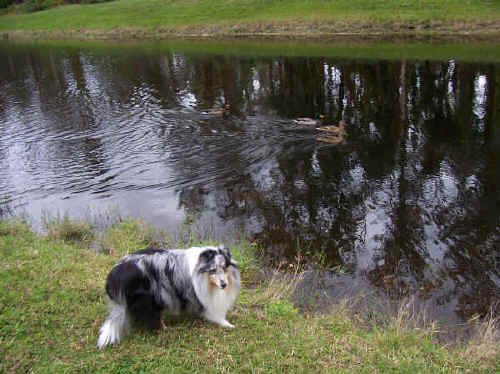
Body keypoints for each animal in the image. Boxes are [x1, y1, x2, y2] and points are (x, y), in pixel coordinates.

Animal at [97, 245, 240, 348]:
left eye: (224, 267)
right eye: (212, 270)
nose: (224, 285)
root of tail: (116, 274)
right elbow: (214, 313)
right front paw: (227, 324)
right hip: (150, 297)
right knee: (153, 318)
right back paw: (166, 329)